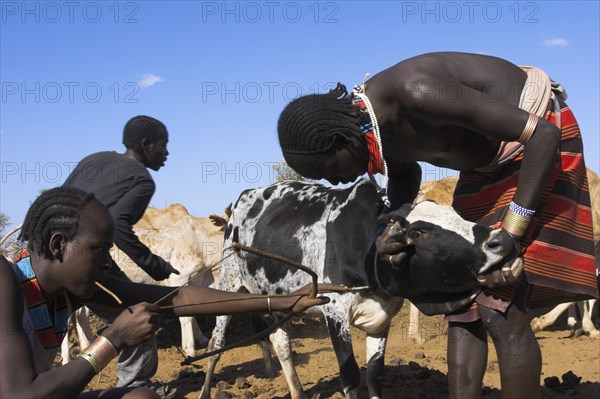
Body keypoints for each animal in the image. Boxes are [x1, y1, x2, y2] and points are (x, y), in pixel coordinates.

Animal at [199, 181, 516, 399]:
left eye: (457, 214)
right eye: (417, 232)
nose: (501, 241)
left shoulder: (382, 316)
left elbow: (375, 374)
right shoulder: (335, 311)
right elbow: (350, 375)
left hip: (278, 300)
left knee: (282, 344)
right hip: (230, 285)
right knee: (216, 345)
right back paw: (205, 390)